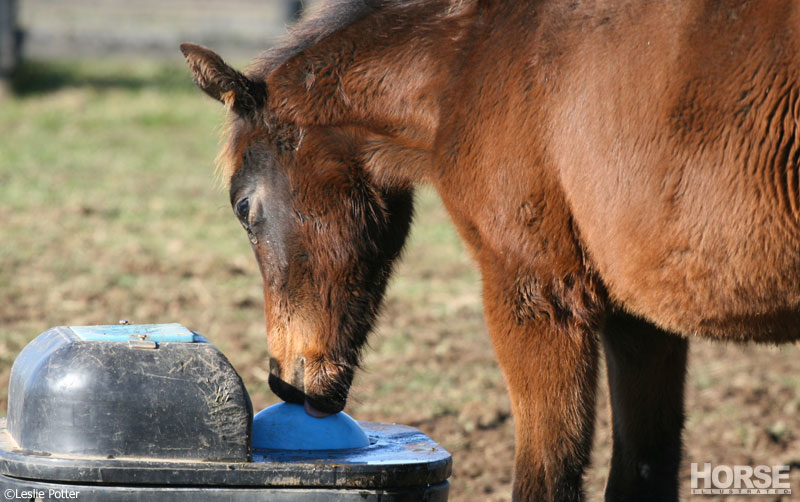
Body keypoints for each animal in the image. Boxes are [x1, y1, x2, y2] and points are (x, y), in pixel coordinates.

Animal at [180, 1, 800, 500]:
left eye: (243, 208)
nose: (283, 382)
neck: (464, 66)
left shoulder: (536, 295)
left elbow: (547, 474)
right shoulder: (640, 317)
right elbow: (644, 467)